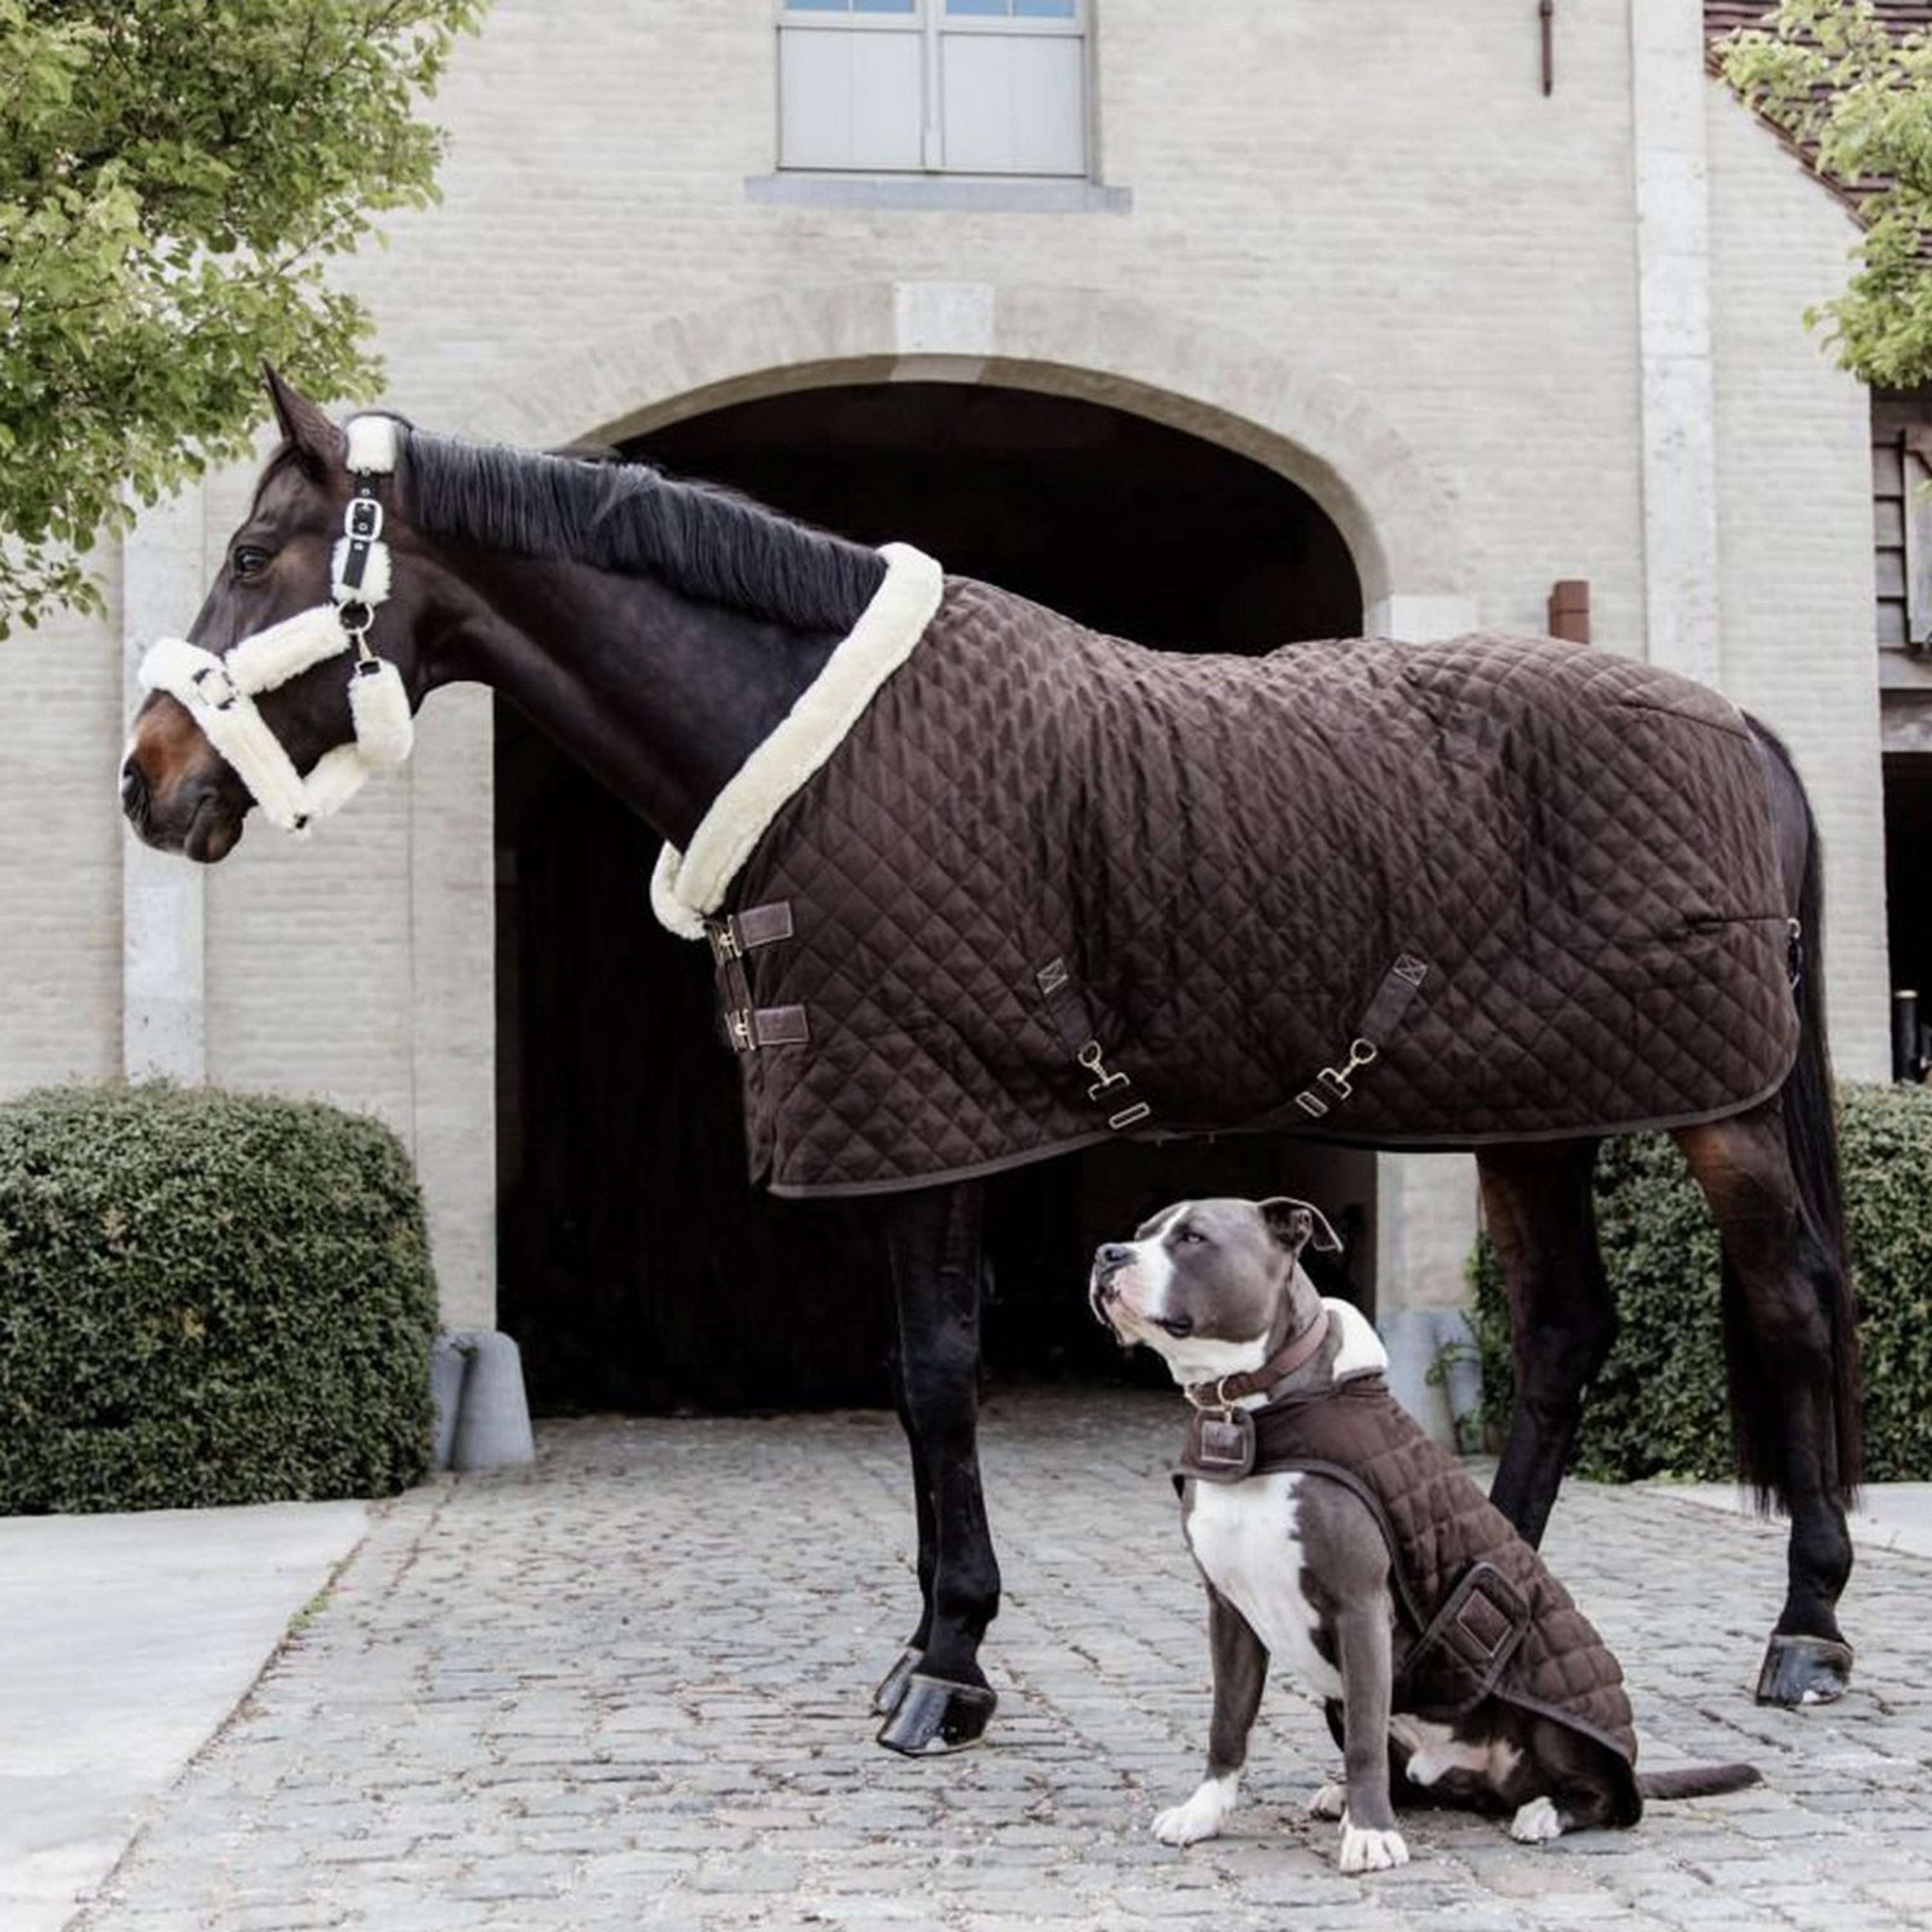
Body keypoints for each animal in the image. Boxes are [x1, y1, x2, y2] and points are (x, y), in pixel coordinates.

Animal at [116, 376, 1854, 1754]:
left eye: (253, 556)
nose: (147, 781)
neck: (803, 738)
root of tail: (1748, 732)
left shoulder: (935, 1117)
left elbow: (934, 1374)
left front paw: (944, 1668)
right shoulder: (912, 1114)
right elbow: (925, 1376)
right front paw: (938, 1649)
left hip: (1719, 1112)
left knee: (1791, 1303)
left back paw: (1809, 1636)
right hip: (1538, 1110)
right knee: (1564, 1329)